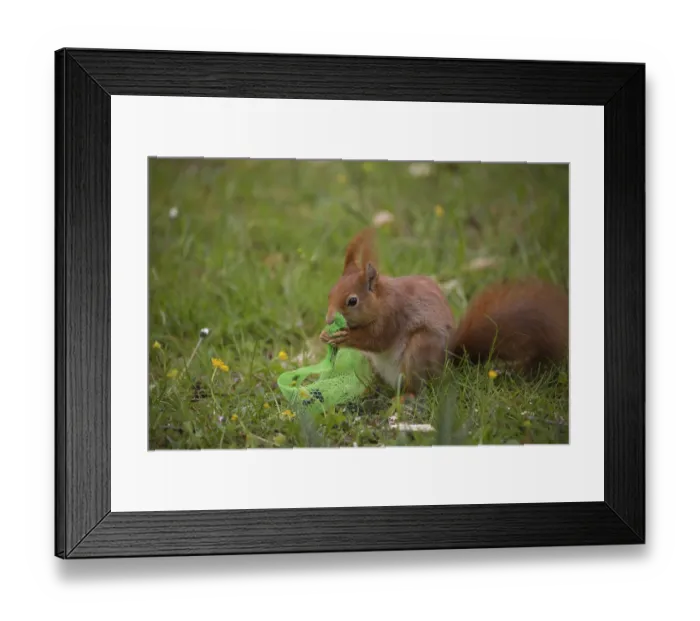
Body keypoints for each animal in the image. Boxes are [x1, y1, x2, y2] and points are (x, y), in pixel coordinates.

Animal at [320, 228, 569, 394]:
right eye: (329, 293)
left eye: (352, 301)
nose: (329, 319)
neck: (381, 301)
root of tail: (447, 364)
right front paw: (324, 335)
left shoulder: (393, 316)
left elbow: (377, 339)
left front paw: (344, 336)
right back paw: (371, 389)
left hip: (420, 349)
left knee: (415, 388)